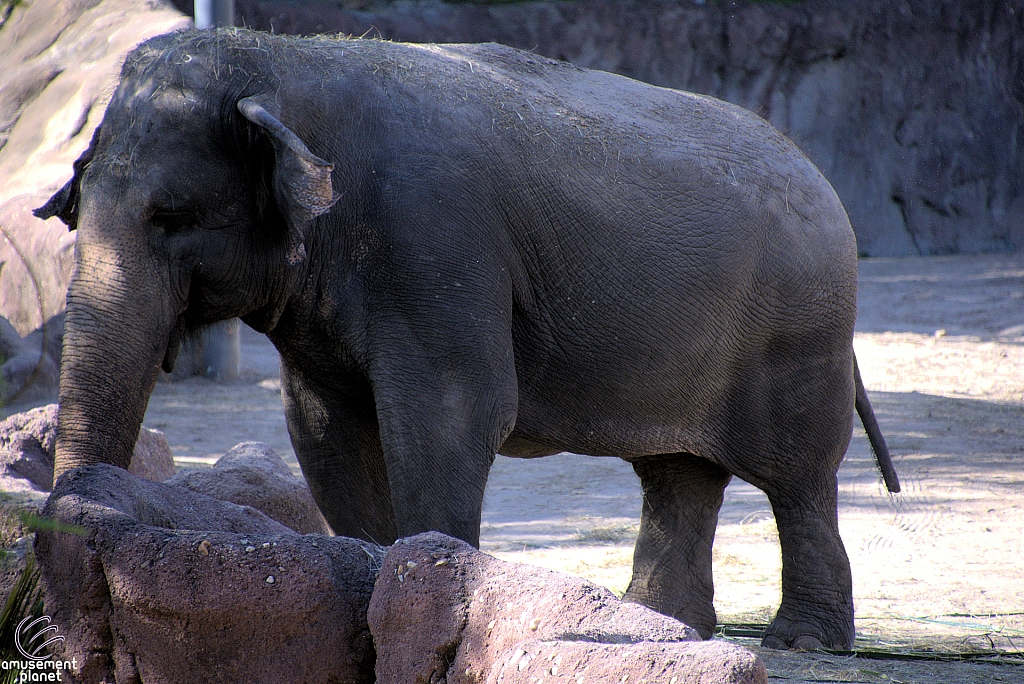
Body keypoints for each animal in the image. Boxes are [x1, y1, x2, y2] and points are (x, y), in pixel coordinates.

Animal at [36, 29, 897, 651]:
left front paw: (423, 594)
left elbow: (448, 415)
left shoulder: (439, 243)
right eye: (76, 204)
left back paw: (803, 642)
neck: (287, 62)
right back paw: (667, 627)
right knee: (678, 473)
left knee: (797, 479)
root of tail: (816, 174)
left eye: (171, 217)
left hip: (800, 331)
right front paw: (372, 579)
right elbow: (326, 429)